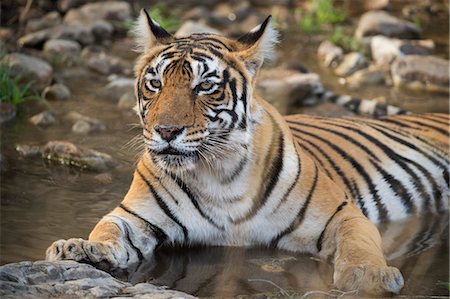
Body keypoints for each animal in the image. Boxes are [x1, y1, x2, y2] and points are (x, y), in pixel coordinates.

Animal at [44, 10, 448, 296]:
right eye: (155, 83)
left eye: (204, 86)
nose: (166, 131)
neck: (218, 172)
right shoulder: (134, 215)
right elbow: (108, 229)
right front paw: (79, 248)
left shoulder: (342, 212)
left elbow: (359, 243)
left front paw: (368, 276)